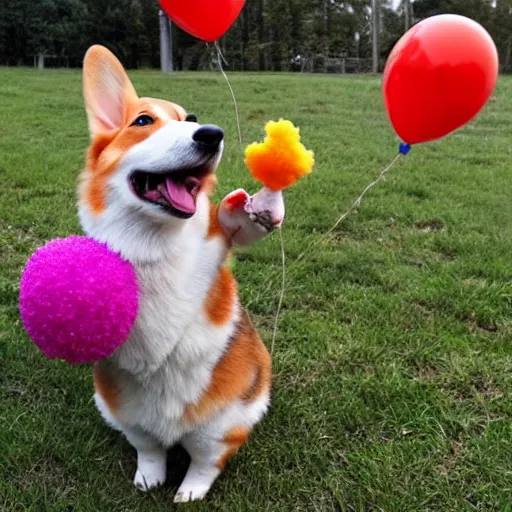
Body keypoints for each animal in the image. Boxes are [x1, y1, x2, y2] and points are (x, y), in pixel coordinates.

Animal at [81, 46, 286, 502]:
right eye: (143, 121)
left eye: (190, 119)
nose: (212, 134)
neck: (153, 236)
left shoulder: (214, 246)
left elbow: (233, 224)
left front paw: (258, 206)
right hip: (121, 411)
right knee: (149, 448)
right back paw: (149, 477)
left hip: (219, 426)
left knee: (205, 463)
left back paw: (188, 492)